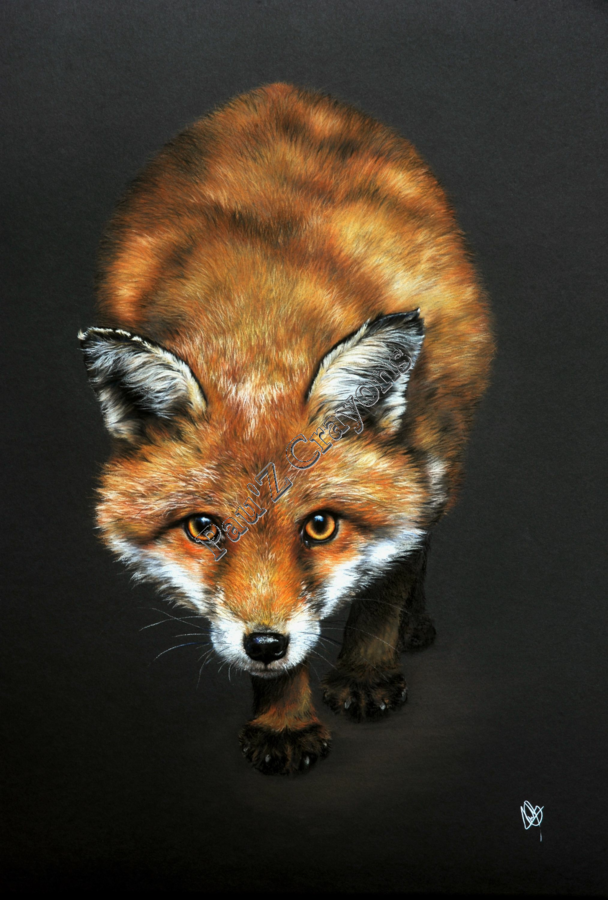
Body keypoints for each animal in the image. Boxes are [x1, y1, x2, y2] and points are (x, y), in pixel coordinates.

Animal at [79, 83, 494, 775]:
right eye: (204, 528)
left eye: (320, 525)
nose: (267, 643)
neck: (262, 324)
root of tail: (280, 93)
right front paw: (284, 720)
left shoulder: (425, 453)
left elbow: (391, 572)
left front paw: (366, 671)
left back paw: (410, 629)